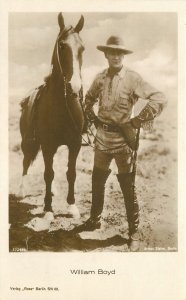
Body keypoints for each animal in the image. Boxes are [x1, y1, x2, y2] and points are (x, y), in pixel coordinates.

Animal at [18, 12, 85, 220]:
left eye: (82, 48)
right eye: (62, 46)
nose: (75, 87)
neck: (62, 105)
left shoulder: (74, 144)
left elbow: (70, 173)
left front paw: (72, 206)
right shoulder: (47, 144)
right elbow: (48, 173)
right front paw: (48, 209)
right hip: (28, 142)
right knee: (26, 162)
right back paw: (21, 190)